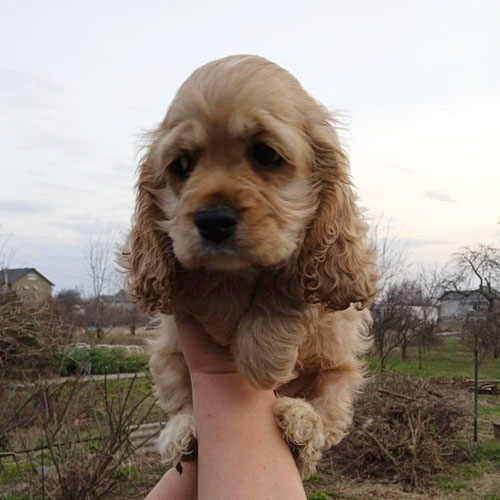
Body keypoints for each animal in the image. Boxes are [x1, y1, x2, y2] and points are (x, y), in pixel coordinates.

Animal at [125, 55, 377, 477]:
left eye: (265, 155)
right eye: (181, 166)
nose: (212, 221)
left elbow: (287, 282)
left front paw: (262, 359)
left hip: (342, 370)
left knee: (326, 415)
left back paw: (300, 425)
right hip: (166, 358)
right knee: (181, 401)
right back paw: (184, 433)